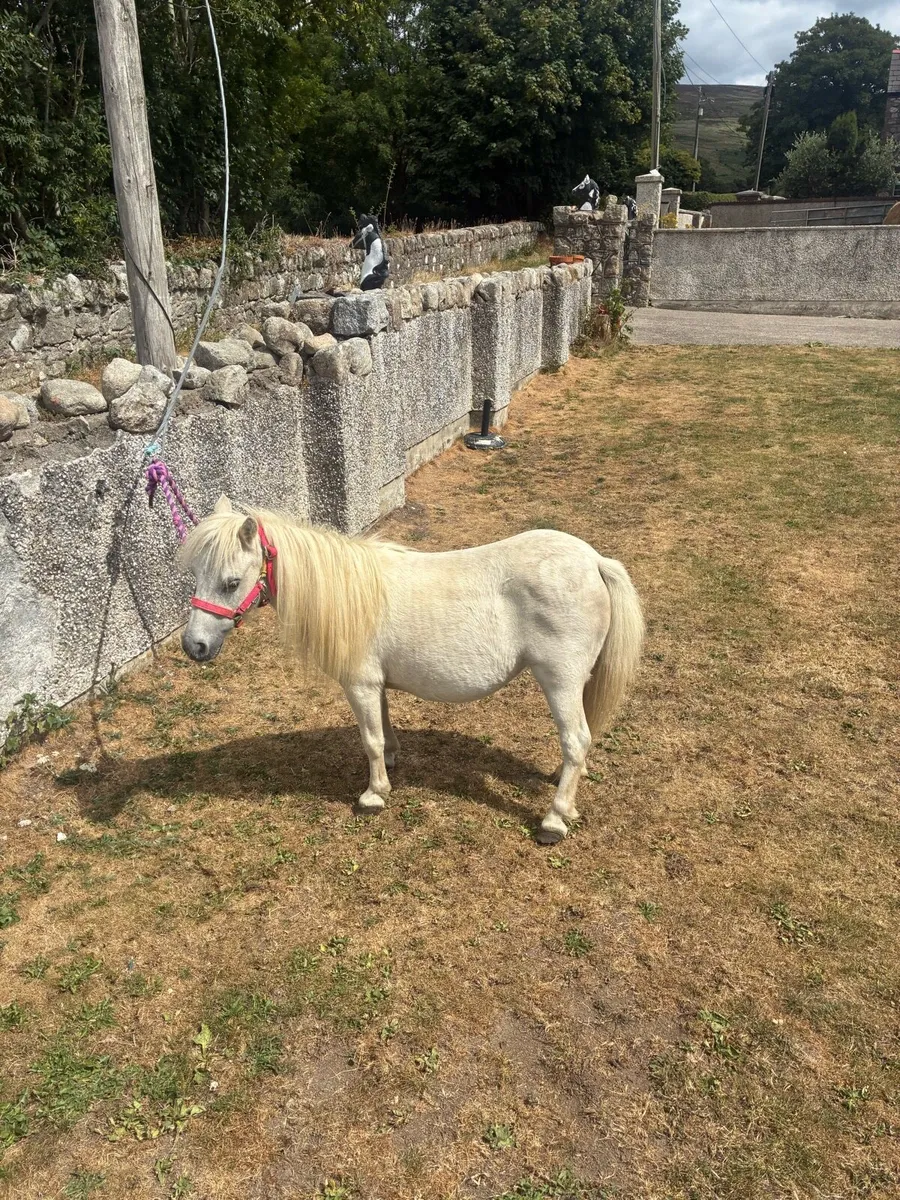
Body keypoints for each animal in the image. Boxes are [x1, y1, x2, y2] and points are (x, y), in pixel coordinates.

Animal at [178, 499, 644, 844]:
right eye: (195, 574)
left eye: (231, 582)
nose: (194, 646)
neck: (352, 592)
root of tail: (595, 561)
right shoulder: (375, 683)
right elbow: (383, 729)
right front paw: (392, 761)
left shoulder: (360, 684)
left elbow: (368, 740)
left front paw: (374, 795)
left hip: (559, 681)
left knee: (576, 739)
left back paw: (554, 820)